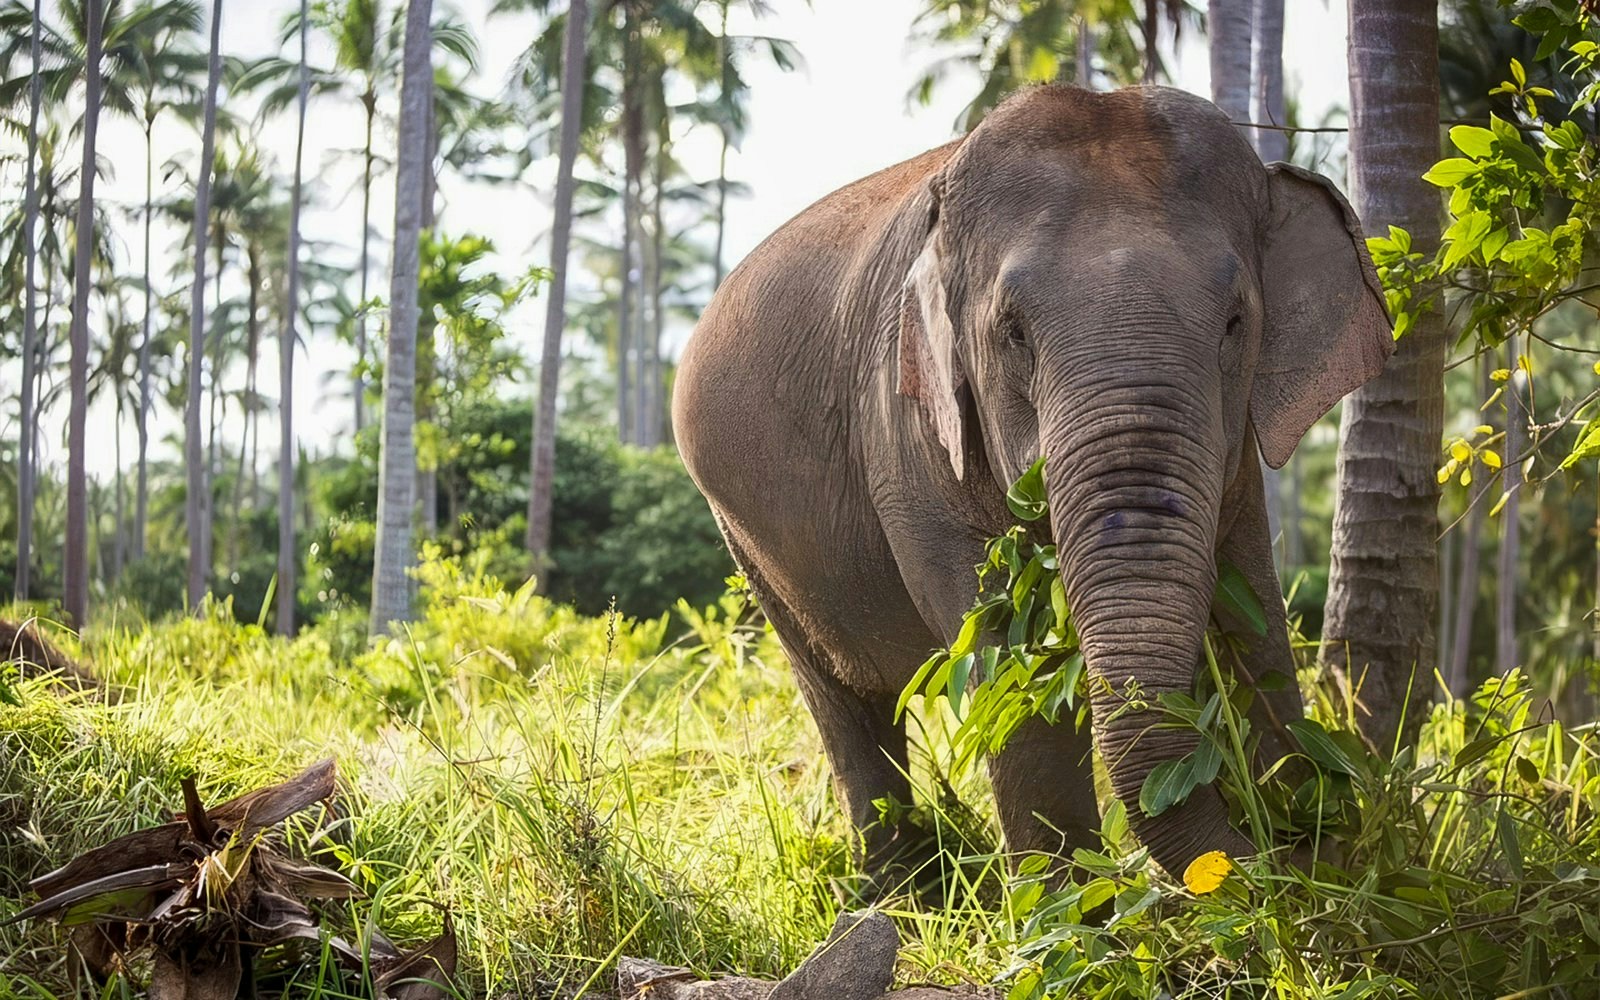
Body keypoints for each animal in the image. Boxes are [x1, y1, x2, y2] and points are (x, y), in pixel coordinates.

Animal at [671, 83, 1393, 880]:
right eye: (1013, 333)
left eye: (1236, 324)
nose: (1282, 851)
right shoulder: (906, 431)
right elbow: (1006, 656)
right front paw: (1073, 905)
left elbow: (1253, 616)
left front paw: (1309, 848)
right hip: (747, 543)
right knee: (842, 700)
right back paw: (902, 890)